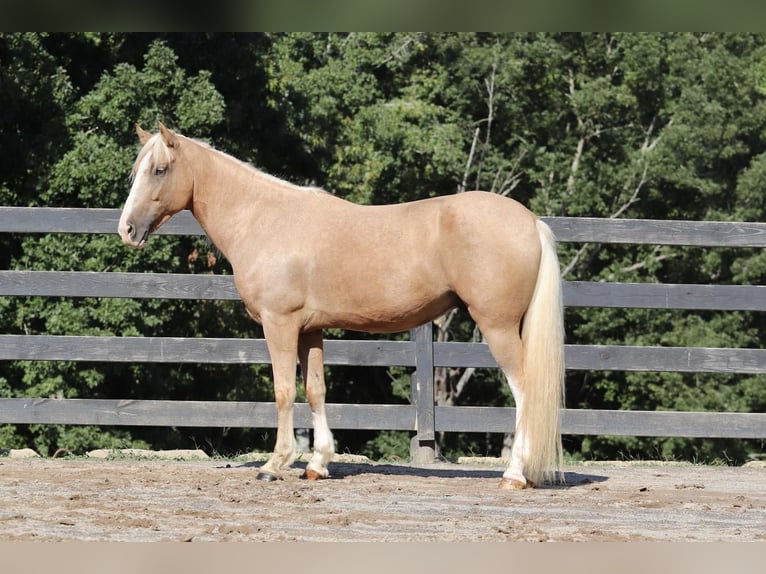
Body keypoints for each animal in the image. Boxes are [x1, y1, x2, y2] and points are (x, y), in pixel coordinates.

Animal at [117, 121, 568, 490]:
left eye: (160, 170)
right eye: (135, 171)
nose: (126, 229)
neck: (267, 220)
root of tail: (530, 221)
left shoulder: (279, 325)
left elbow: (283, 390)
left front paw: (275, 463)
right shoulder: (310, 330)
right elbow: (315, 390)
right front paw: (317, 464)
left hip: (498, 326)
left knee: (525, 390)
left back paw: (514, 475)